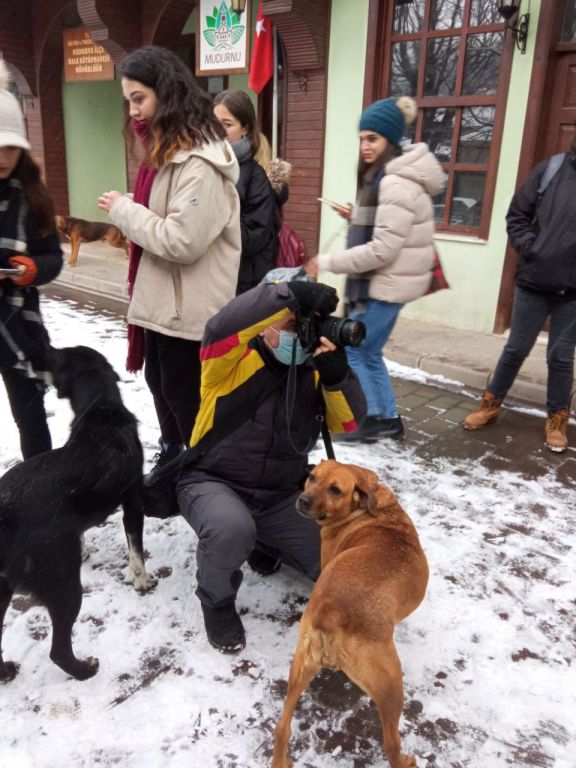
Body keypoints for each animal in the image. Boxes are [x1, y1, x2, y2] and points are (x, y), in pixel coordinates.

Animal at [0, 344, 156, 680]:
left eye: (59, 356)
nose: (38, 351)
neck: (100, 405)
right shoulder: (133, 502)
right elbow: (136, 552)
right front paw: (143, 582)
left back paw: (6, 672)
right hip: (65, 586)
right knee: (58, 650)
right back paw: (85, 669)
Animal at [270, 462, 428, 768]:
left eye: (335, 489)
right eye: (312, 478)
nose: (303, 500)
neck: (366, 508)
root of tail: (330, 610)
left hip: (300, 666)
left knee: (282, 728)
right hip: (391, 685)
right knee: (391, 745)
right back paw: (404, 759)